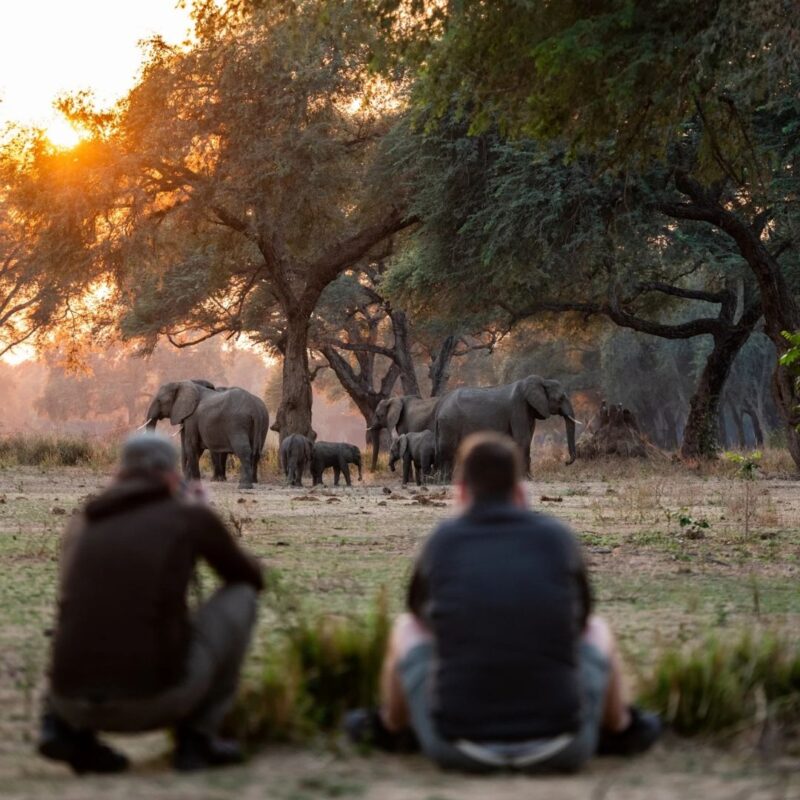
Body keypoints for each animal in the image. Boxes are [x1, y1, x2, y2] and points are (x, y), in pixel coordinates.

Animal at [433, 375, 578, 480]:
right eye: (561, 398)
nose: (566, 462)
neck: (542, 380)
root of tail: (440, 405)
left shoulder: (529, 410)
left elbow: (528, 437)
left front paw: (530, 477)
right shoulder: (518, 408)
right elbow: (523, 439)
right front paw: (526, 478)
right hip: (450, 422)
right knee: (448, 449)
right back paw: (446, 480)